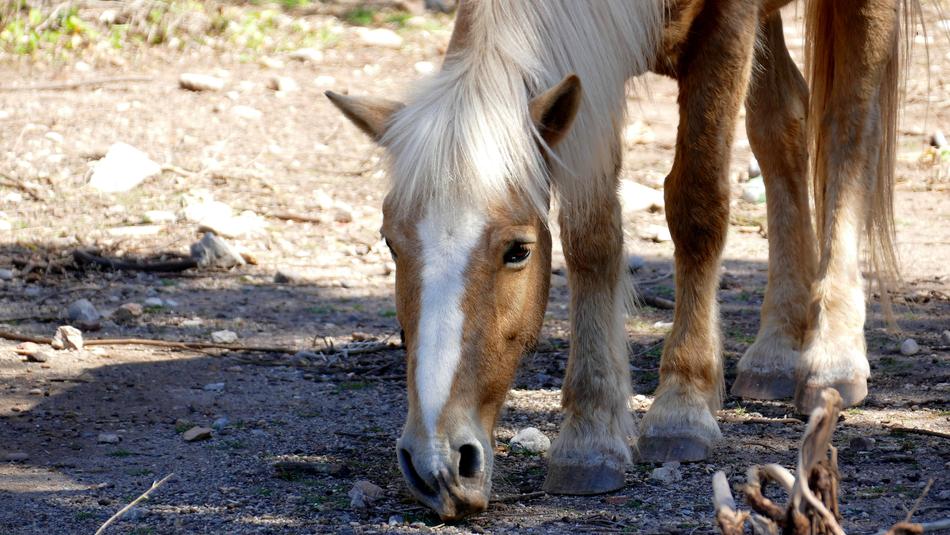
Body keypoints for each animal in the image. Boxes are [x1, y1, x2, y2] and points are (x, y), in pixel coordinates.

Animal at [327, 0, 912, 521]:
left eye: (518, 251)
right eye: (390, 243)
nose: (439, 464)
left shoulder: (727, 27)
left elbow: (697, 204)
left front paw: (682, 406)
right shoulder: (593, 76)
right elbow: (591, 236)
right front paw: (590, 436)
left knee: (847, 132)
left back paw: (833, 358)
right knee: (781, 124)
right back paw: (774, 353)